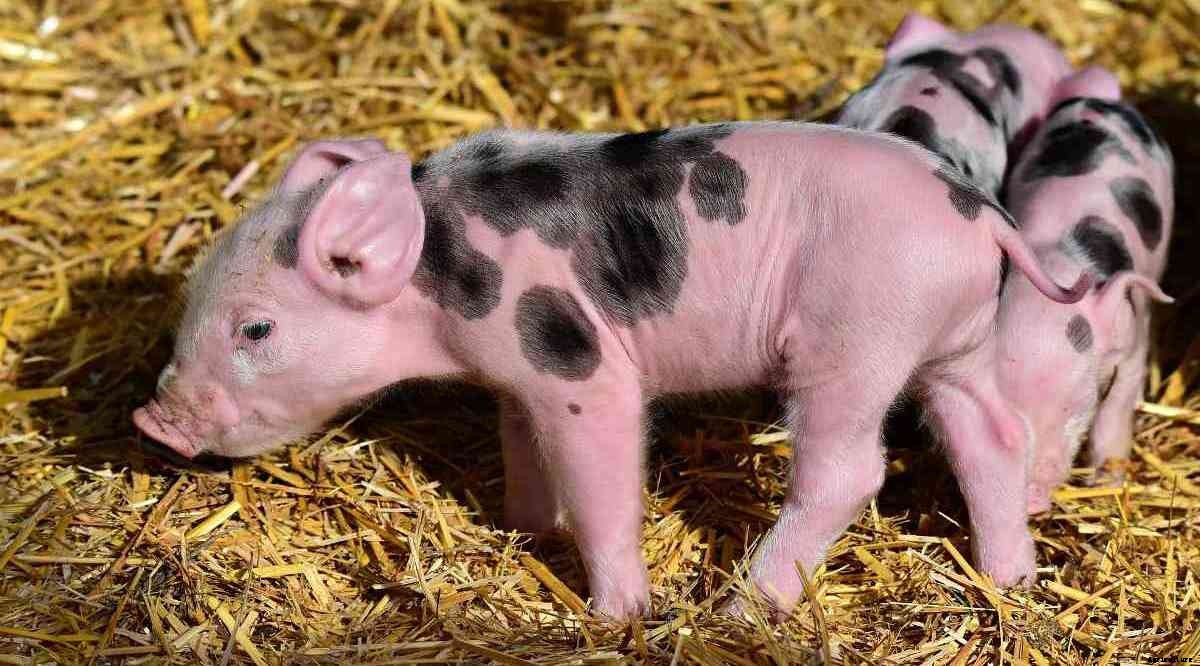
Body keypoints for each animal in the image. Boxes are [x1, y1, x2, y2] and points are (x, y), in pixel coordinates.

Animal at [133, 122, 1088, 618]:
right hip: (953, 343)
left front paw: (615, 614)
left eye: (257, 328)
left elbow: (603, 477)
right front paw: (524, 530)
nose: (154, 422)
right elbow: (521, 448)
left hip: (854, 342)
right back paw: (1012, 580)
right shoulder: (515, 374)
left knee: (849, 471)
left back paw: (742, 609)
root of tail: (982, 216)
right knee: (994, 433)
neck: (439, 284)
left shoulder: (576, 362)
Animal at [998, 66, 1175, 513]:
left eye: (1077, 404)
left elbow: (1117, 408)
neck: (1058, 263)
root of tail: (1101, 102)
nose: (1030, 501)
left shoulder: (1133, 337)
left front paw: (1107, 479)